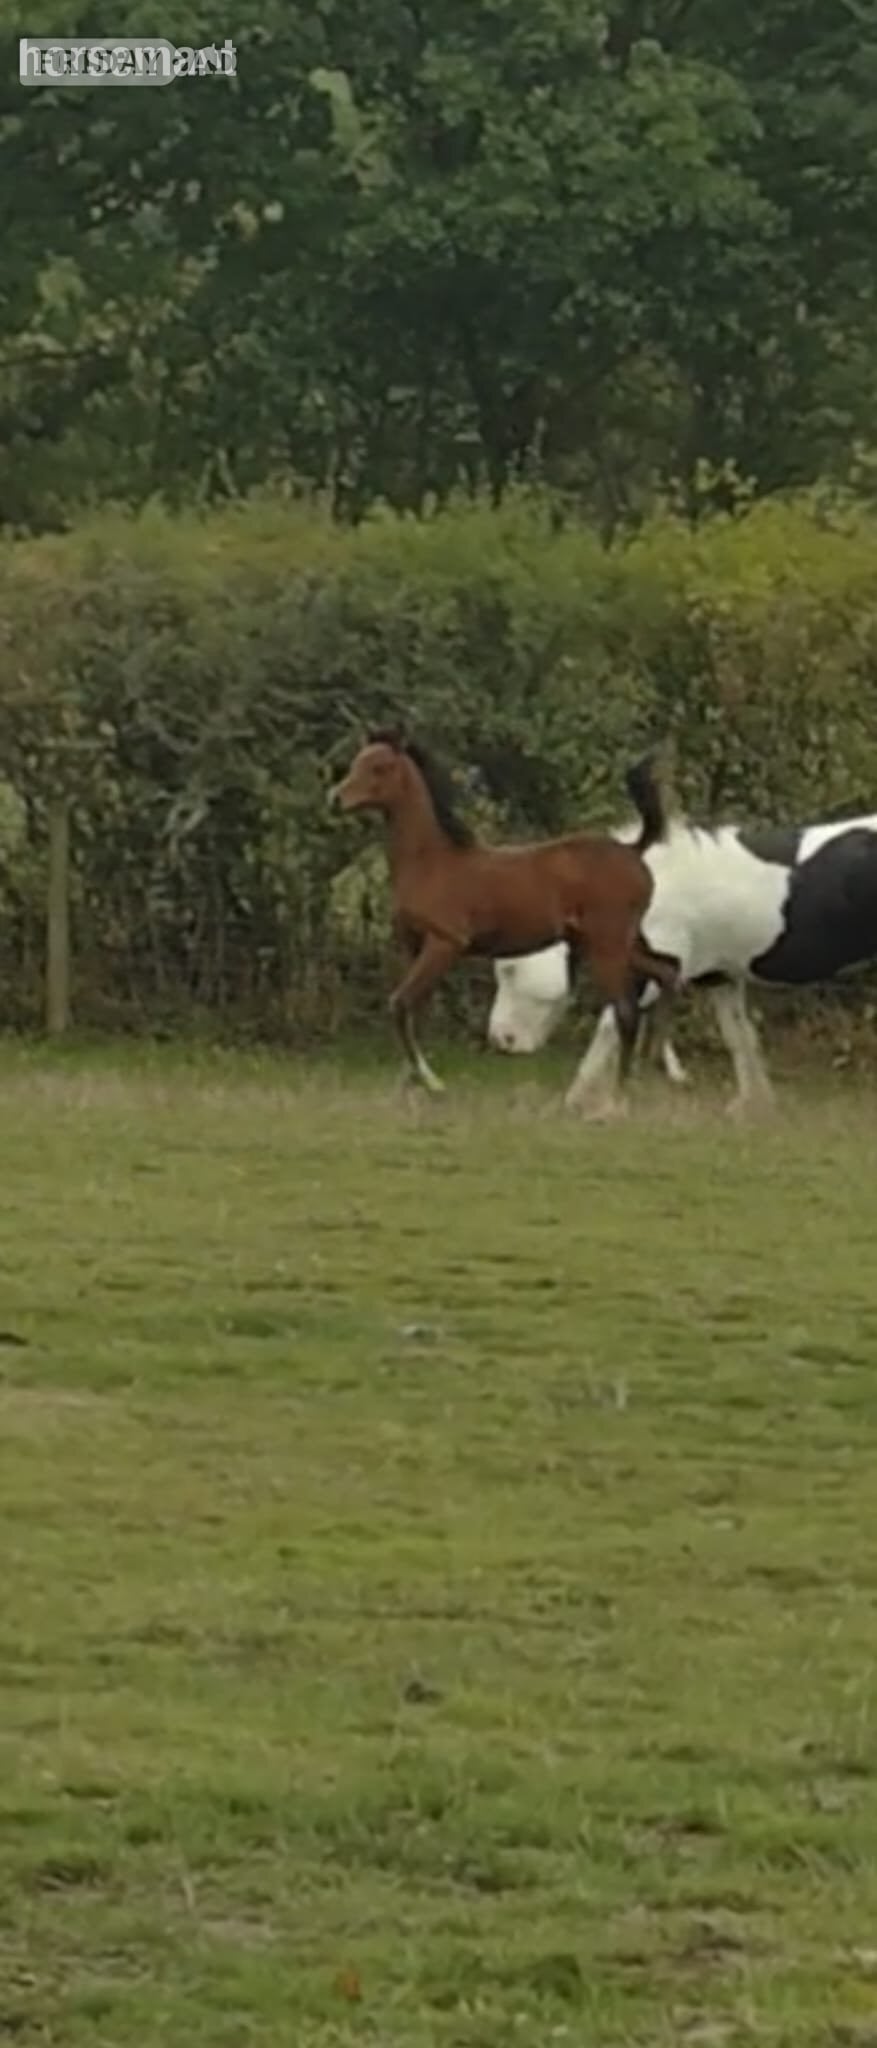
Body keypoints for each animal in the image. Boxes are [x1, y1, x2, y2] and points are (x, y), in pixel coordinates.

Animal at [331, 731, 678, 1097]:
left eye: (380, 767)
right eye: (357, 761)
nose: (335, 799)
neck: (431, 862)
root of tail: (633, 850)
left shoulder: (445, 943)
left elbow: (399, 1003)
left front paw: (431, 1081)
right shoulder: (414, 946)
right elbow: (414, 1012)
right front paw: (410, 1084)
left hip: (607, 946)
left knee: (628, 1010)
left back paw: (621, 1091)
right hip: (616, 942)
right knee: (668, 970)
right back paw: (654, 1067)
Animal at [487, 804, 877, 1113]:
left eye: (509, 968)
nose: (500, 1039)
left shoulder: (649, 971)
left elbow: (612, 1025)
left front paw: (582, 1102)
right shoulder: (721, 976)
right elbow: (740, 1037)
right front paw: (752, 1107)